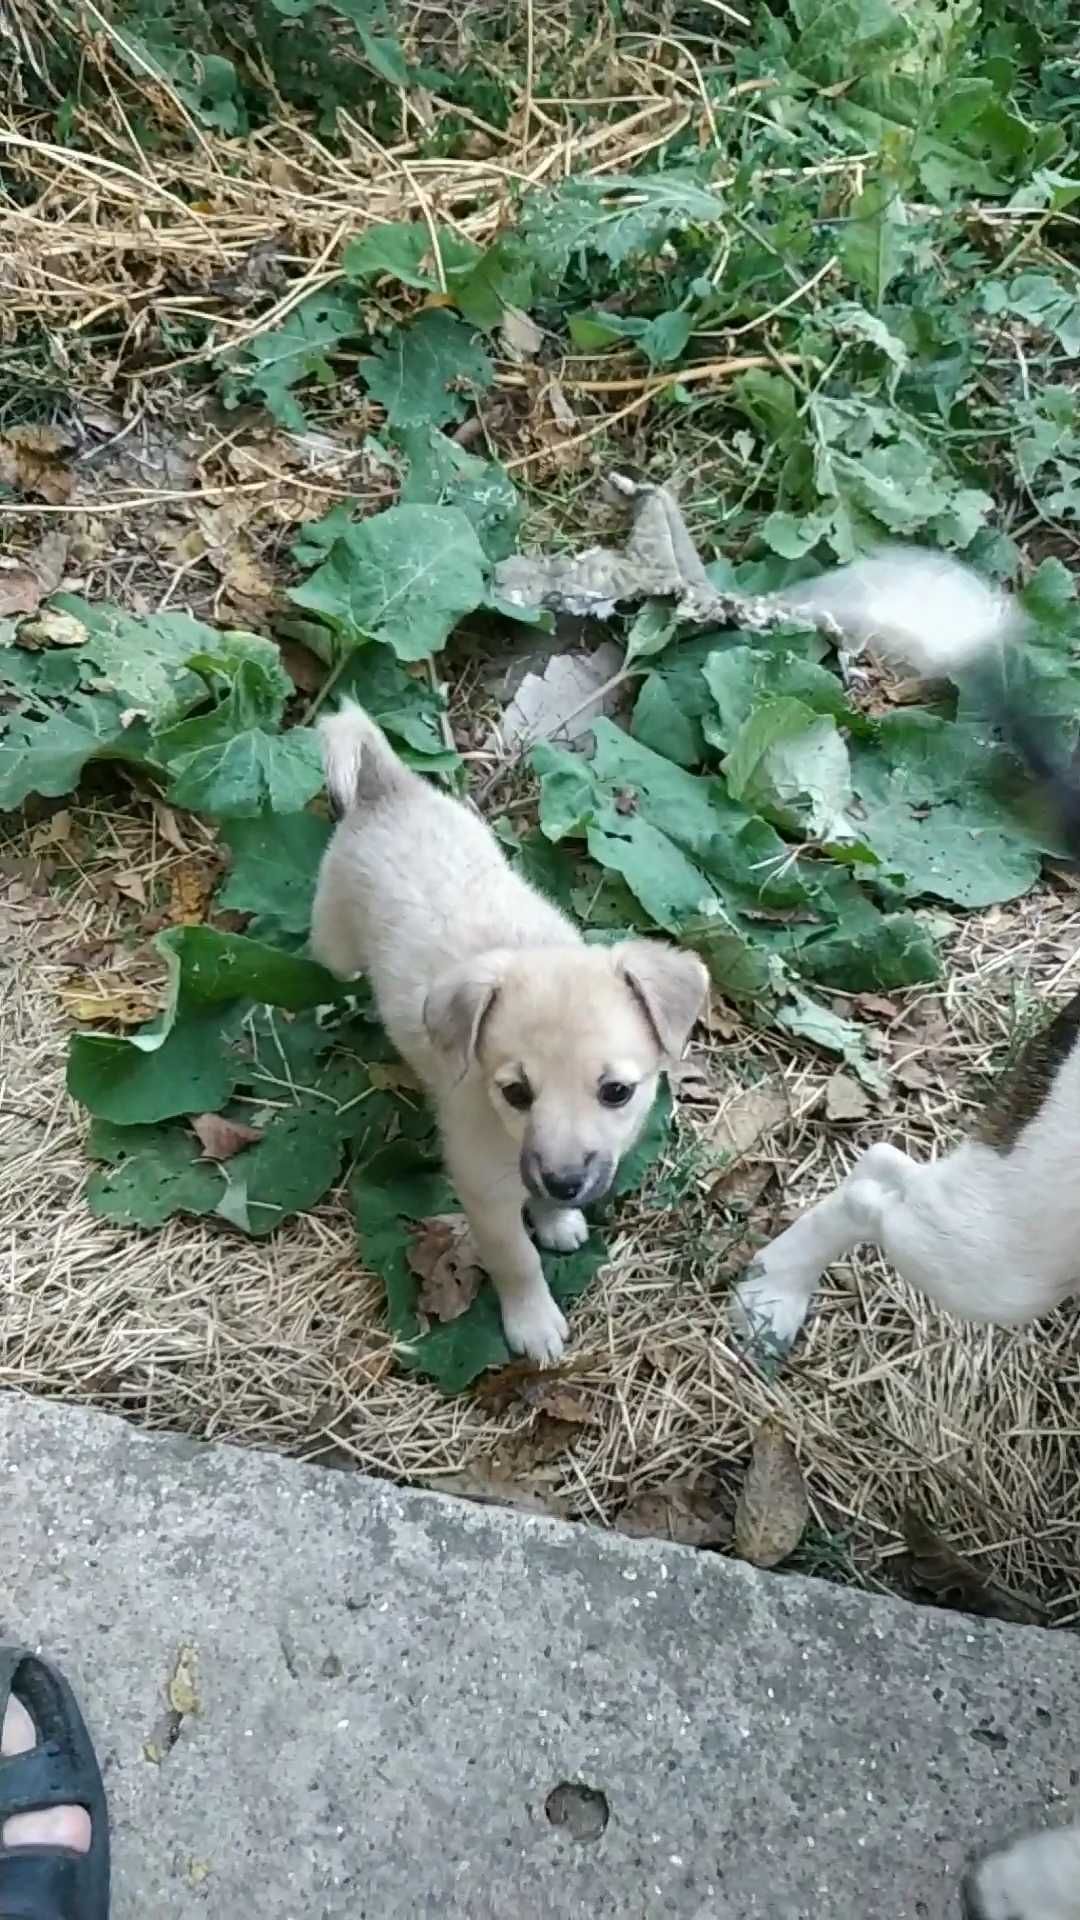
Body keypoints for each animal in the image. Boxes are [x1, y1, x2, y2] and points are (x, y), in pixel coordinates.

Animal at [307, 702, 707, 1367]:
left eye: (616, 1093)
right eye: (516, 1093)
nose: (566, 1184)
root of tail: (386, 788)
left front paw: (554, 1218)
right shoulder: (484, 1193)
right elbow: (516, 1261)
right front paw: (533, 1322)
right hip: (333, 941)